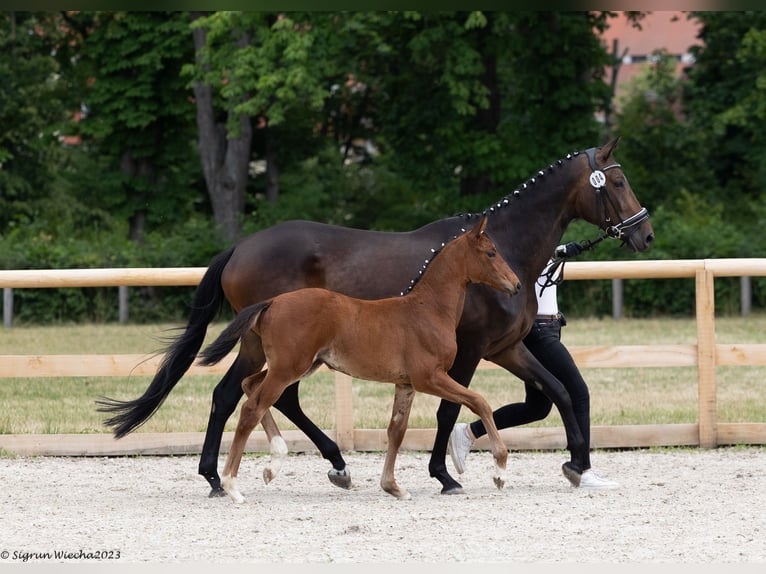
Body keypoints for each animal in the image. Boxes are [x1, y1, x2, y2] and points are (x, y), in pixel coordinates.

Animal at [196, 217, 520, 504]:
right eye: (491, 252)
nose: (516, 285)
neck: (427, 309)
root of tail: (272, 302)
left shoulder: (406, 384)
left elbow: (396, 431)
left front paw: (393, 487)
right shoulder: (429, 377)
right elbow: (479, 401)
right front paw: (500, 471)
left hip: (296, 366)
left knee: (249, 385)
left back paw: (273, 462)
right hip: (288, 368)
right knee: (252, 407)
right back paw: (232, 486)